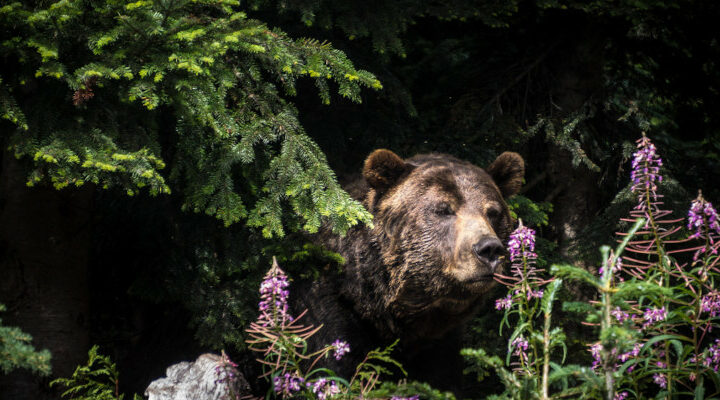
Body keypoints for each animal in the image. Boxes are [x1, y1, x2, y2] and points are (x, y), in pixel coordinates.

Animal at [290, 148, 524, 392]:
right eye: (443, 209)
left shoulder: (440, 342)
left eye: (493, 212)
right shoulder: (326, 311)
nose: (489, 249)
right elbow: (333, 367)